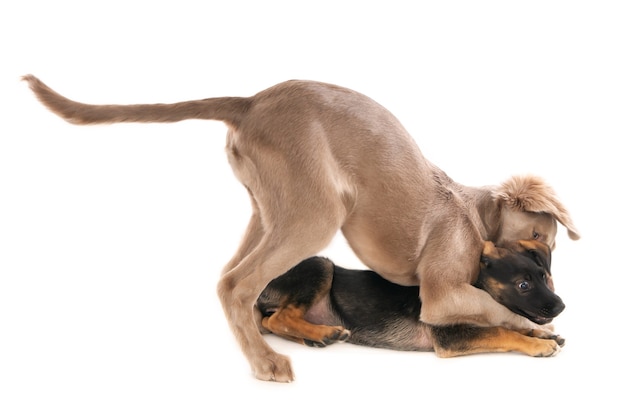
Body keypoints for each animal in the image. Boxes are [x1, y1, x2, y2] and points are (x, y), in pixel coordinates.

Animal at [256, 240, 564, 358]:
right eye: (523, 285)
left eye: (543, 275)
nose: (561, 306)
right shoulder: (448, 337)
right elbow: (502, 331)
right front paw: (538, 344)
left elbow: (508, 325)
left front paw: (541, 334)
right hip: (322, 266)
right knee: (280, 318)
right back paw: (325, 333)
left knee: (273, 321)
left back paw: (315, 337)